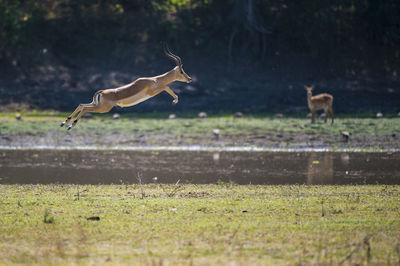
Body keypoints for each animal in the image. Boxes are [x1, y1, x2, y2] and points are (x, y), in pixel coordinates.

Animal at [60, 44, 191, 130]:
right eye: (182, 71)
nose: (189, 79)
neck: (154, 80)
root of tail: (101, 92)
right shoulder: (154, 91)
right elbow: (166, 87)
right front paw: (174, 101)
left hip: (97, 105)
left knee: (81, 105)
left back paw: (64, 123)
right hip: (102, 108)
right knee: (85, 109)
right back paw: (70, 125)